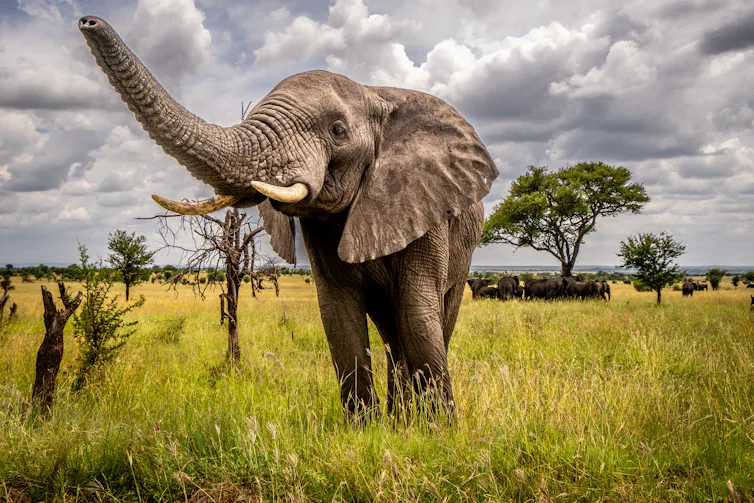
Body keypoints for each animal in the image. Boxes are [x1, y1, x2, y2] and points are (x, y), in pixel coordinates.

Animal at [79, 17, 498, 418]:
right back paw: (399, 418)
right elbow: (339, 318)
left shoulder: (427, 207)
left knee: (428, 321)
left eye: (337, 130)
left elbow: (417, 315)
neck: (375, 93)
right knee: (391, 334)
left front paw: (437, 432)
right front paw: (366, 431)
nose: (87, 22)